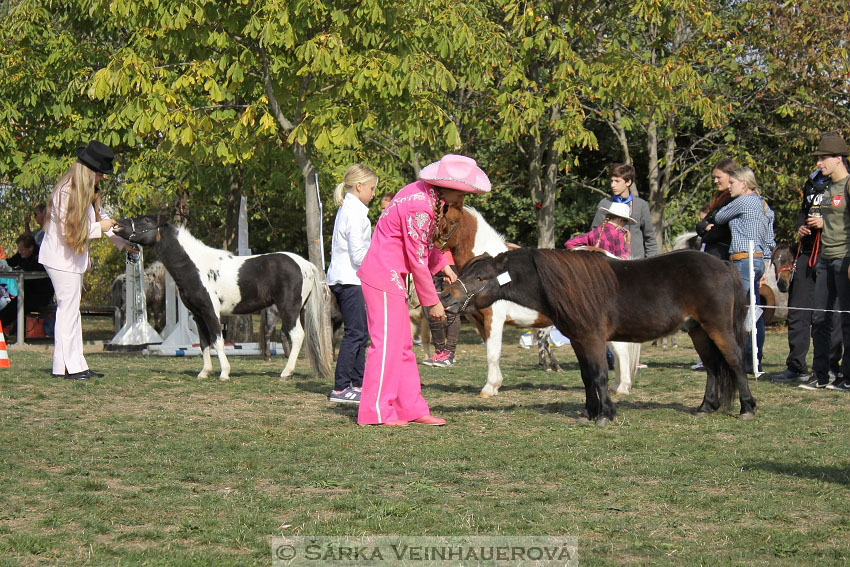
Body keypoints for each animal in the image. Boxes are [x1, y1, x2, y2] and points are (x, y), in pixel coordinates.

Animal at [114, 215, 332, 384]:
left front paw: (224, 373)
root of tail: (305, 264)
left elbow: (217, 340)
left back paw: (286, 373)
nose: (117, 224)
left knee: (297, 336)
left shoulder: (211, 312)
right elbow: (204, 343)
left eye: (146, 220)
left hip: (289, 309)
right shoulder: (198, 314)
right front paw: (204, 372)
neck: (196, 266)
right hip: (298, 310)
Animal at [440, 248, 752, 426]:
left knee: (735, 361)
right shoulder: (579, 340)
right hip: (698, 330)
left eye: (480, 278)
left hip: (718, 327)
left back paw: (747, 408)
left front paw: (604, 415)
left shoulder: (593, 338)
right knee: (712, 367)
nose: (446, 296)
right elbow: (587, 376)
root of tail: (722, 264)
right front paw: (589, 412)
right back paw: (705, 407)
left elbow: (600, 375)